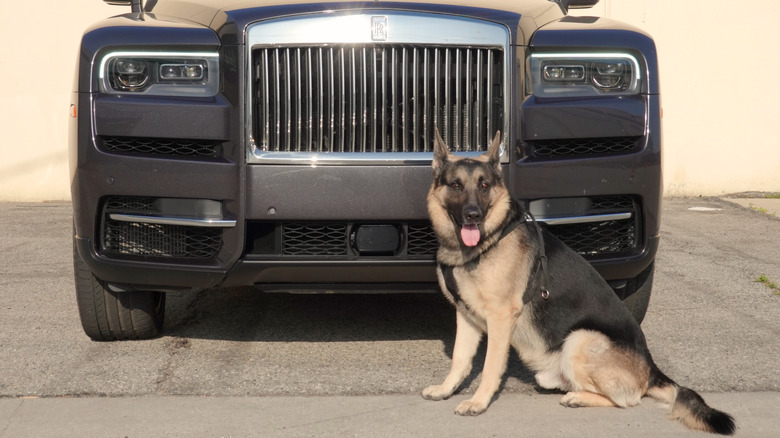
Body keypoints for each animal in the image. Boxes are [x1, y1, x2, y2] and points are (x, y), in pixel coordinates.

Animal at [424, 130, 736, 434]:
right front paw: (446, 389)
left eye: (485, 185)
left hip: (579, 339)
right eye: (456, 185)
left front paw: (478, 402)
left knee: (627, 400)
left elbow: (490, 366)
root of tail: (651, 370)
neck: (490, 238)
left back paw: (578, 397)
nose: (473, 216)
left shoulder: (500, 318)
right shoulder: (466, 316)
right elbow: (459, 359)